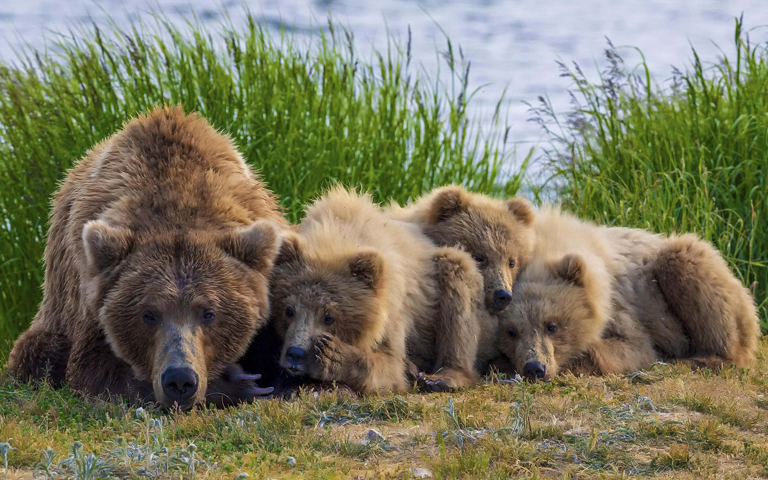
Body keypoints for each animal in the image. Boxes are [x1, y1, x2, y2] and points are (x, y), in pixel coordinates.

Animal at [8, 106, 284, 408]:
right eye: (149, 314)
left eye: (209, 313)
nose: (180, 380)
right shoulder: (89, 301)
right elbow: (94, 371)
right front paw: (237, 382)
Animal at [268, 188, 486, 394]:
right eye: (288, 310)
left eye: (329, 317)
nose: (295, 354)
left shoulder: (393, 314)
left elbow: (390, 367)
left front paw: (332, 355)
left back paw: (443, 377)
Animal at [496, 204, 760, 380]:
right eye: (511, 331)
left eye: (552, 325)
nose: (535, 368)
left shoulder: (623, 306)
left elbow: (635, 348)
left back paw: (703, 358)